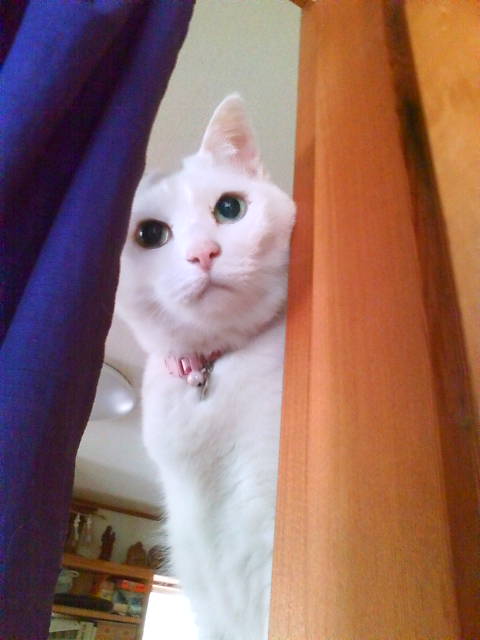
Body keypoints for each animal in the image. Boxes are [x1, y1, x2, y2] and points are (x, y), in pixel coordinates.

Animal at [116, 94, 296, 640]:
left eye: (230, 208)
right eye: (151, 234)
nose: (204, 253)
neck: (210, 370)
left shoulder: (262, 527)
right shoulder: (199, 555)